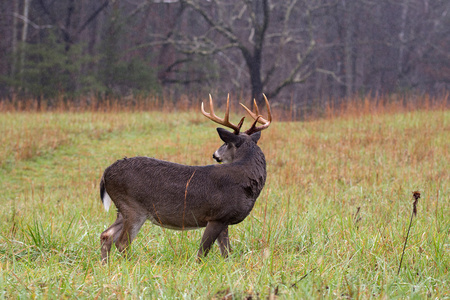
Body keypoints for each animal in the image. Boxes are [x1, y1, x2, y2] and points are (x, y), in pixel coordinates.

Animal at [99, 94, 270, 262]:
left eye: (226, 143)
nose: (215, 155)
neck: (245, 181)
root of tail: (106, 173)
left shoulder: (225, 219)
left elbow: (227, 254)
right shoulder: (217, 216)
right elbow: (202, 253)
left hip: (122, 208)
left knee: (106, 235)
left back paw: (105, 265)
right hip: (133, 207)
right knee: (122, 243)